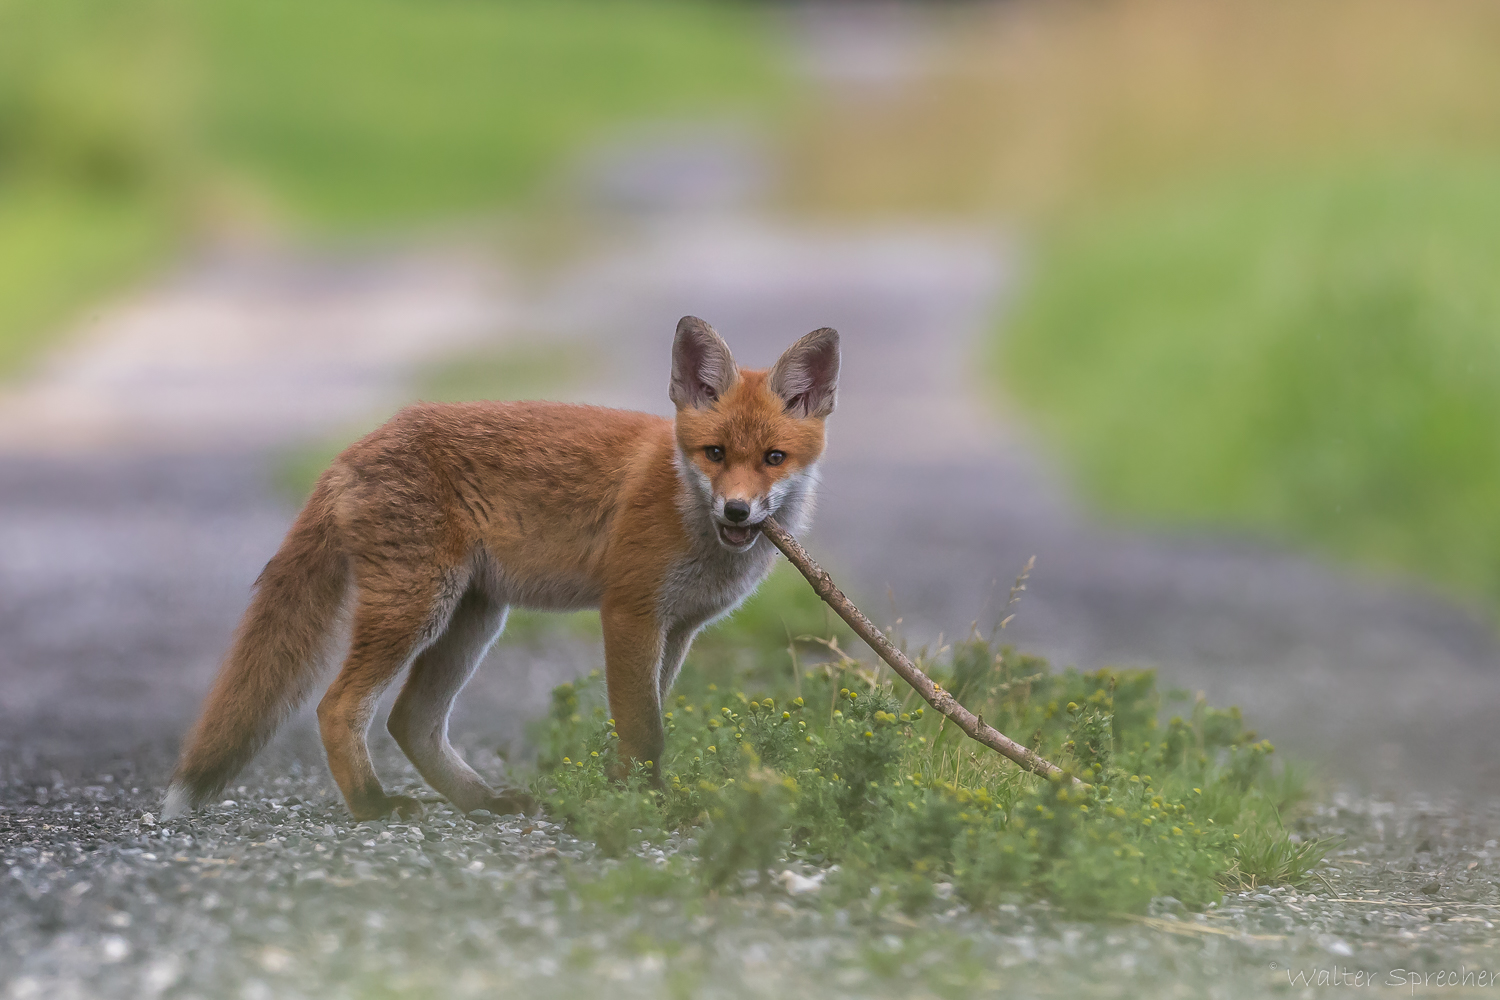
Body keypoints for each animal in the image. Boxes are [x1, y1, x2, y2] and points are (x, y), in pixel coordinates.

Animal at [167, 320, 846, 821]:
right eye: (715, 453)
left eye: (773, 458)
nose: (736, 510)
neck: (686, 507)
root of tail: (356, 448)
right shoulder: (629, 612)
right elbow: (643, 727)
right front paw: (647, 806)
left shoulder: (676, 629)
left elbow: (644, 722)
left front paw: (623, 793)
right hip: (417, 608)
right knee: (339, 707)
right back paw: (372, 805)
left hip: (474, 619)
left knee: (410, 721)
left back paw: (481, 801)